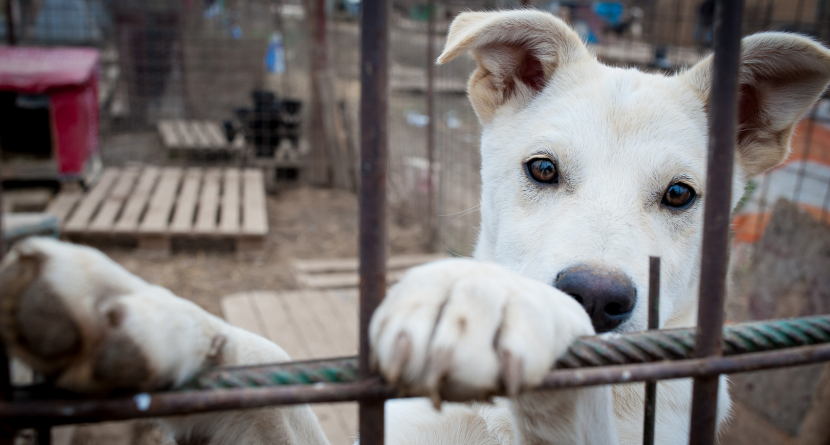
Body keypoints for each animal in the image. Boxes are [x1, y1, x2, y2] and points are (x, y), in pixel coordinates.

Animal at [1, 9, 830, 444]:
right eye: (542, 169)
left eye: (682, 194)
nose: (599, 297)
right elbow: (261, 360)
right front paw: (132, 314)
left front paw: (493, 302)